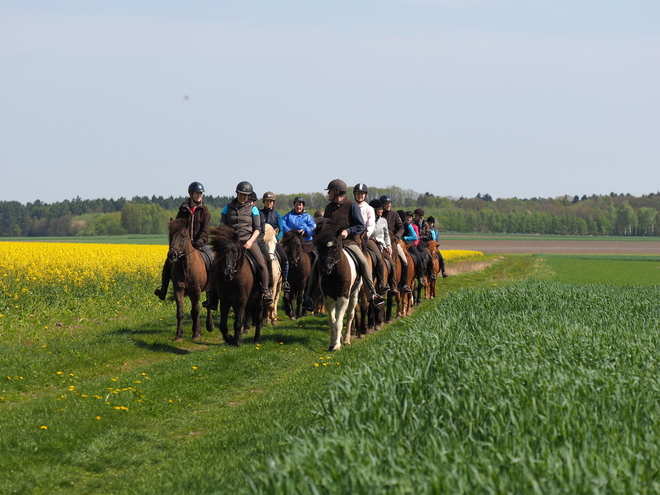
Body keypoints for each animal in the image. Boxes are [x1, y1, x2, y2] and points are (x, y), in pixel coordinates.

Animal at [314, 218, 360, 352]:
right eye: (320, 246)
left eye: (335, 247)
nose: (326, 269)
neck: (334, 274)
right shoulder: (328, 298)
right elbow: (332, 321)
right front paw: (332, 342)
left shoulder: (343, 297)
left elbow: (339, 322)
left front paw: (337, 345)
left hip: (354, 294)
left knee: (350, 315)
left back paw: (347, 340)